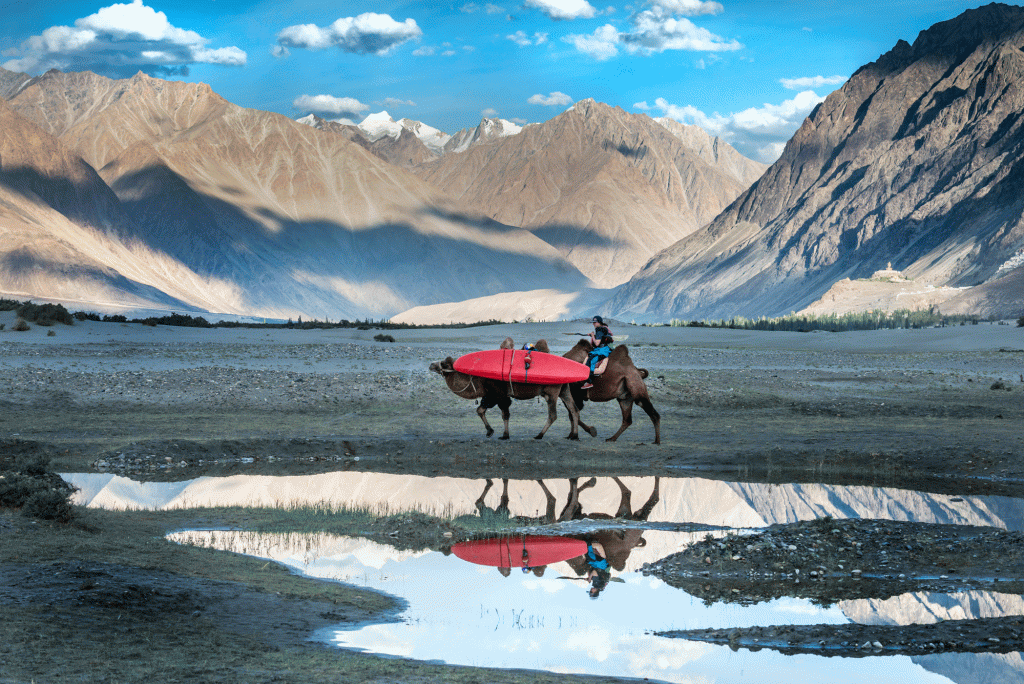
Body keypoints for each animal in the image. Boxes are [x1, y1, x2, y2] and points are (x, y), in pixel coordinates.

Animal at [428, 337, 581, 444]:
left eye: (445, 364)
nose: (431, 365)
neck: (477, 379)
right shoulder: (490, 395)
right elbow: (481, 410)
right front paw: (490, 431)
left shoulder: (498, 393)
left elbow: (505, 414)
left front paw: (504, 435)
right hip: (564, 390)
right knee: (573, 409)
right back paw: (573, 435)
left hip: (551, 392)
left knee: (553, 415)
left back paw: (539, 435)